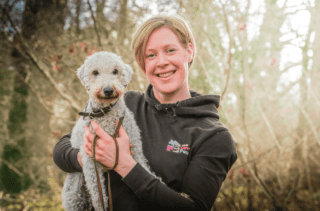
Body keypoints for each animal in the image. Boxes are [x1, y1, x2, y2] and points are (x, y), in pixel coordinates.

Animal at [61, 51, 158, 211]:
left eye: (115, 71)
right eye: (95, 72)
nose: (108, 90)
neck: (106, 114)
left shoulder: (135, 149)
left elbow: (145, 169)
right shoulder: (89, 159)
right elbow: (97, 193)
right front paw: (102, 203)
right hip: (74, 193)